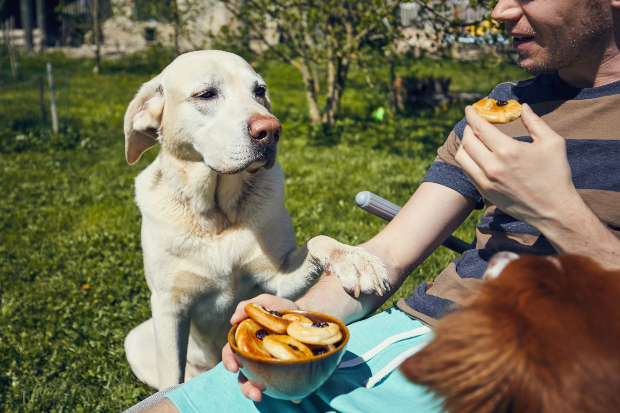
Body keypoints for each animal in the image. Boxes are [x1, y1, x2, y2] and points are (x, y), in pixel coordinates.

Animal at [123, 50, 390, 388]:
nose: (271, 130)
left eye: (259, 91)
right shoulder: (168, 307)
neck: (216, 215)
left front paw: (355, 259)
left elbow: (317, 241)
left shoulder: (278, 282)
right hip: (136, 339)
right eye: (206, 94)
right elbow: (173, 378)